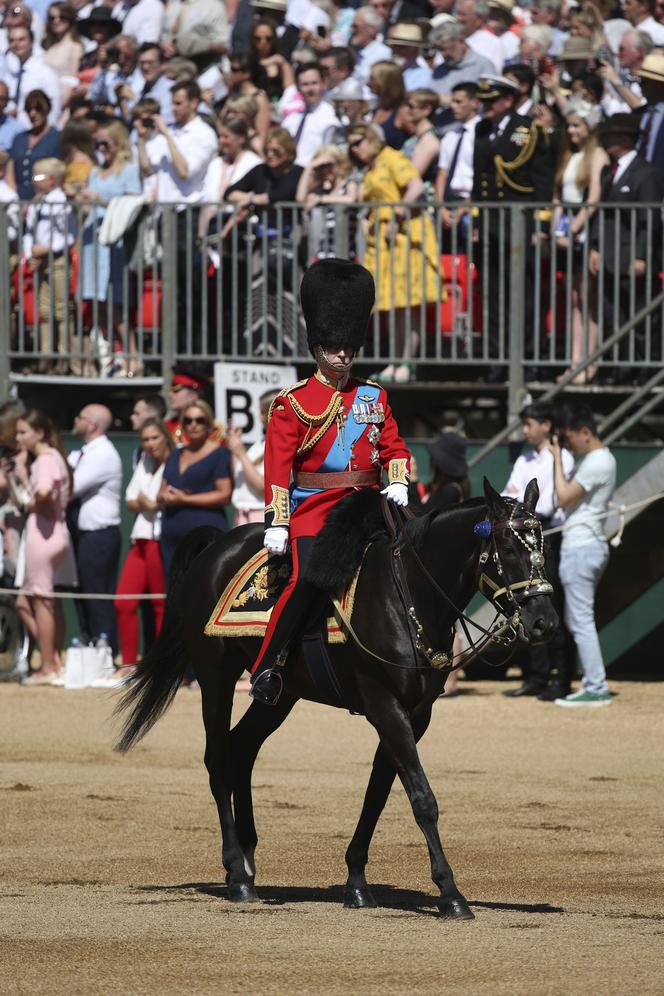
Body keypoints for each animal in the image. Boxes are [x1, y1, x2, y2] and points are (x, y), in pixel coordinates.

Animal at [116, 478, 556, 924]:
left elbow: (377, 794)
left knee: (242, 749)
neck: (407, 595)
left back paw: (249, 860)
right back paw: (237, 872)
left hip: (280, 695)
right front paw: (449, 892)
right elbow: (422, 798)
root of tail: (217, 546)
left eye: (544, 546)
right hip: (216, 676)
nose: (545, 622)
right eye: (509, 546)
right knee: (218, 757)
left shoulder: (415, 714)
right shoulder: (384, 704)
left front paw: (357, 883)